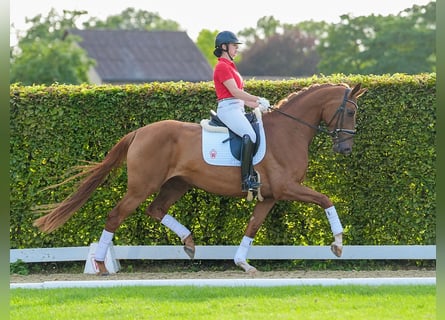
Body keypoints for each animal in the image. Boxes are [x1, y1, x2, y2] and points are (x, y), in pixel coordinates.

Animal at [32, 81, 364, 274]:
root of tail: (140, 131)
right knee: (116, 215)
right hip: (142, 186)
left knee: (156, 210)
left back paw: (189, 242)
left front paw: (243, 263)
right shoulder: (288, 188)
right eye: (349, 112)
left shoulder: (270, 195)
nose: (346, 148)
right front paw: (337, 244)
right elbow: (326, 199)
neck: (289, 130)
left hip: (176, 184)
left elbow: (253, 226)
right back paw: (101, 264)